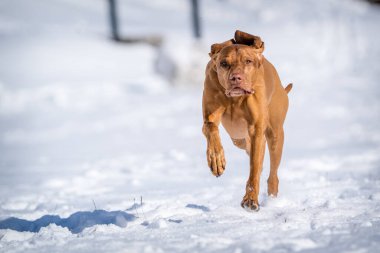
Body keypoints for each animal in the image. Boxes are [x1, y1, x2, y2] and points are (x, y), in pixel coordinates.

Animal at [200, 30, 292, 211]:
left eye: (248, 61)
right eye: (224, 63)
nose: (236, 78)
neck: (235, 99)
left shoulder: (256, 130)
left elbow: (254, 167)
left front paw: (250, 199)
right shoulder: (209, 117)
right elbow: (211, 129)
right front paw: (216, 159)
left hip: (275, 135)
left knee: (272, 172)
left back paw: (273, 197)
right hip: (238, 138)